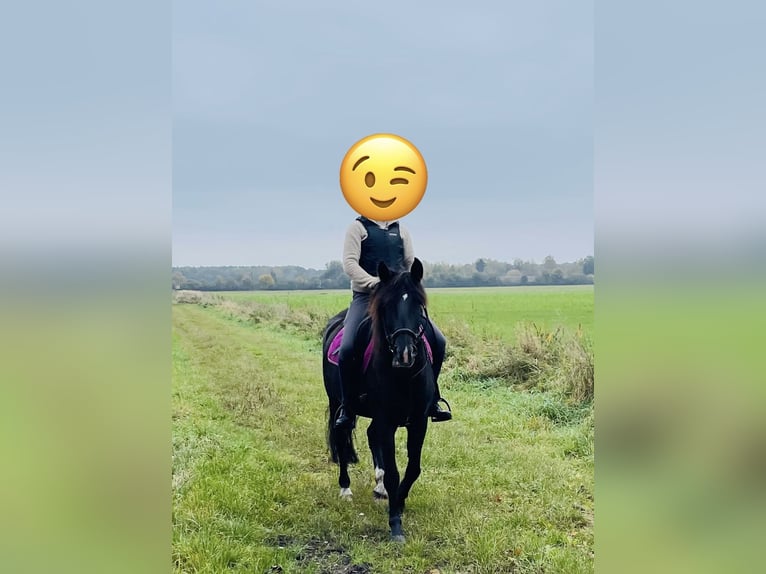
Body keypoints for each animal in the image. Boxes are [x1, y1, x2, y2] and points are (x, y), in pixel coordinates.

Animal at [322, 258, 437, 543]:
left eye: (418, 304)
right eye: (386, 306)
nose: (405, 354)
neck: (403, 376)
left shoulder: (419, 421)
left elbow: (413, 468)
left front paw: (399, 500)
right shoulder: (386, 420)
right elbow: (395, 472)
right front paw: (395, 524)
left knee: (371, 436)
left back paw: (380, 487)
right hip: (337, 404)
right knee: (341, 438)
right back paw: (346, 489)